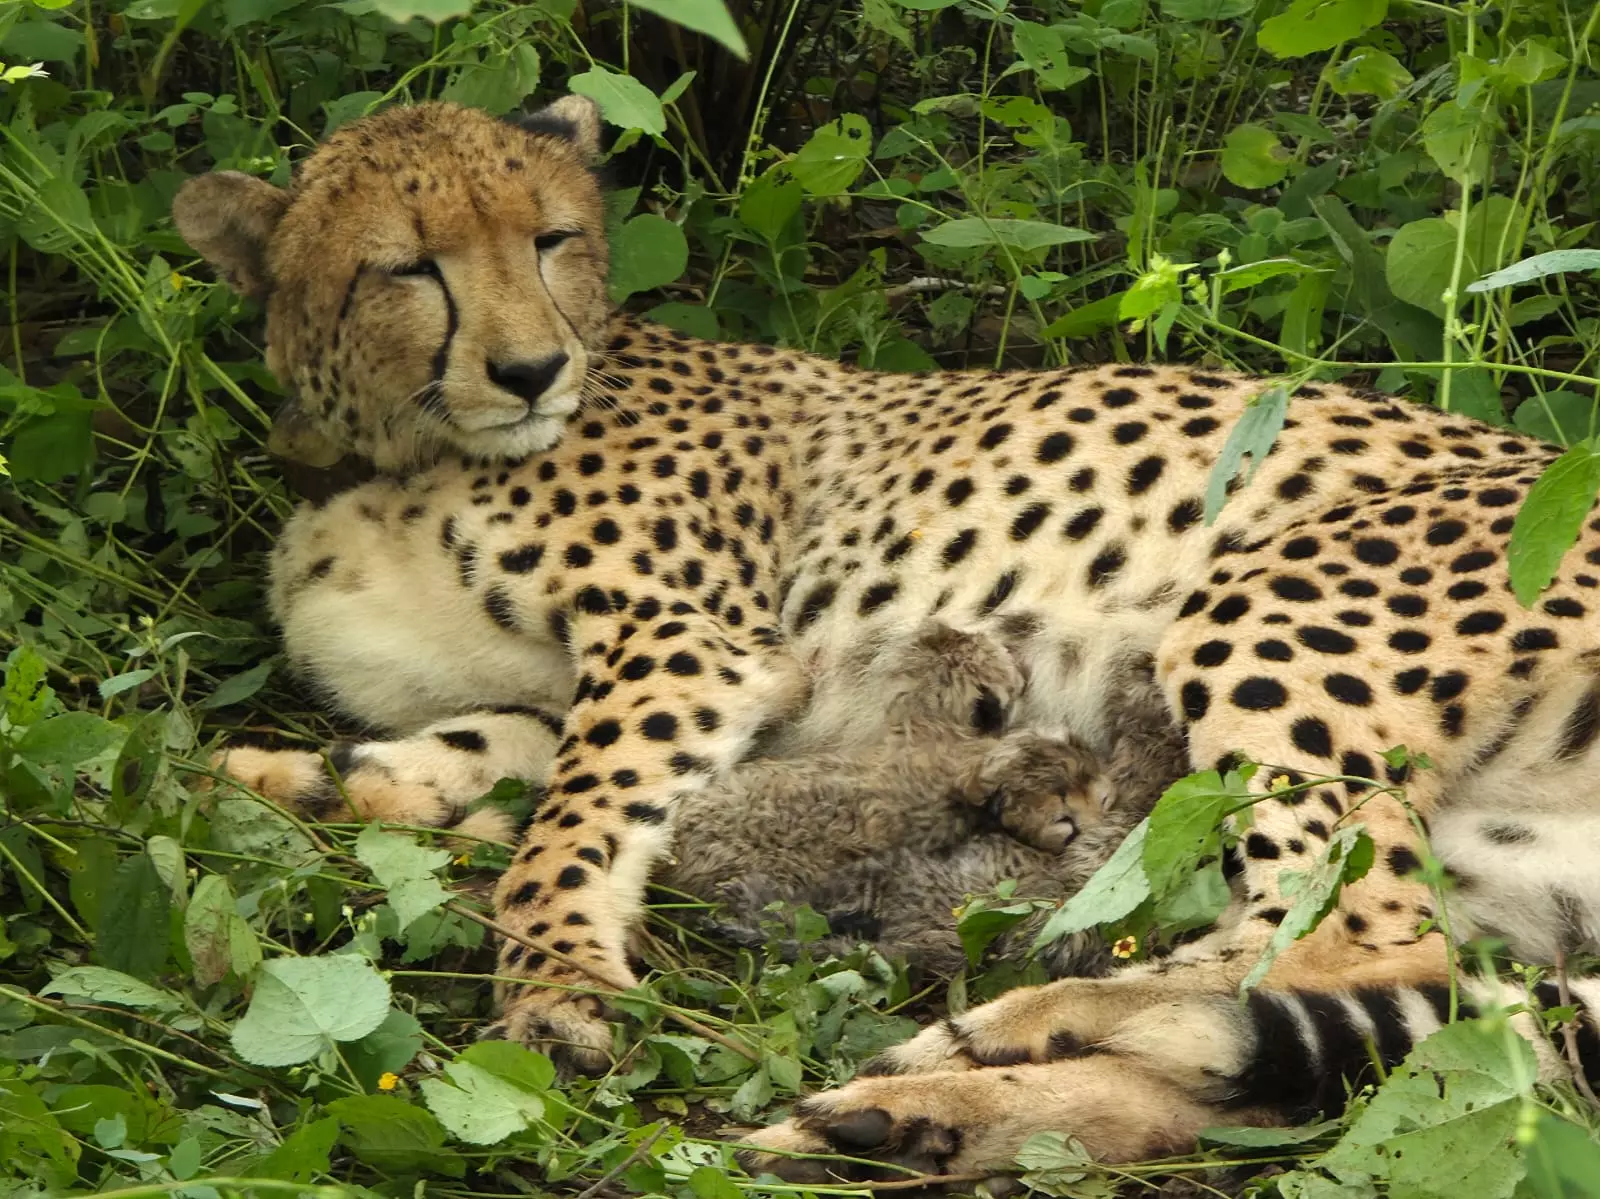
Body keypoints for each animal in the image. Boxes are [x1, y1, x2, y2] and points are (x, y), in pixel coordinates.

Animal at [174, 94, 1600, 1174]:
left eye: (551, 239)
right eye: (407, 265)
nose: (531, 369)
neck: (398, 448)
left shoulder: (692, 644)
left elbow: (568, 823)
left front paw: (557, 983)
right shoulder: (601, 682)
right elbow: (479, 748)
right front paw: (296, 777)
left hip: (1265, 604)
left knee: (1356, 940)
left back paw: (1009, 1026)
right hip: (1500, 874)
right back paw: (914, 1112)